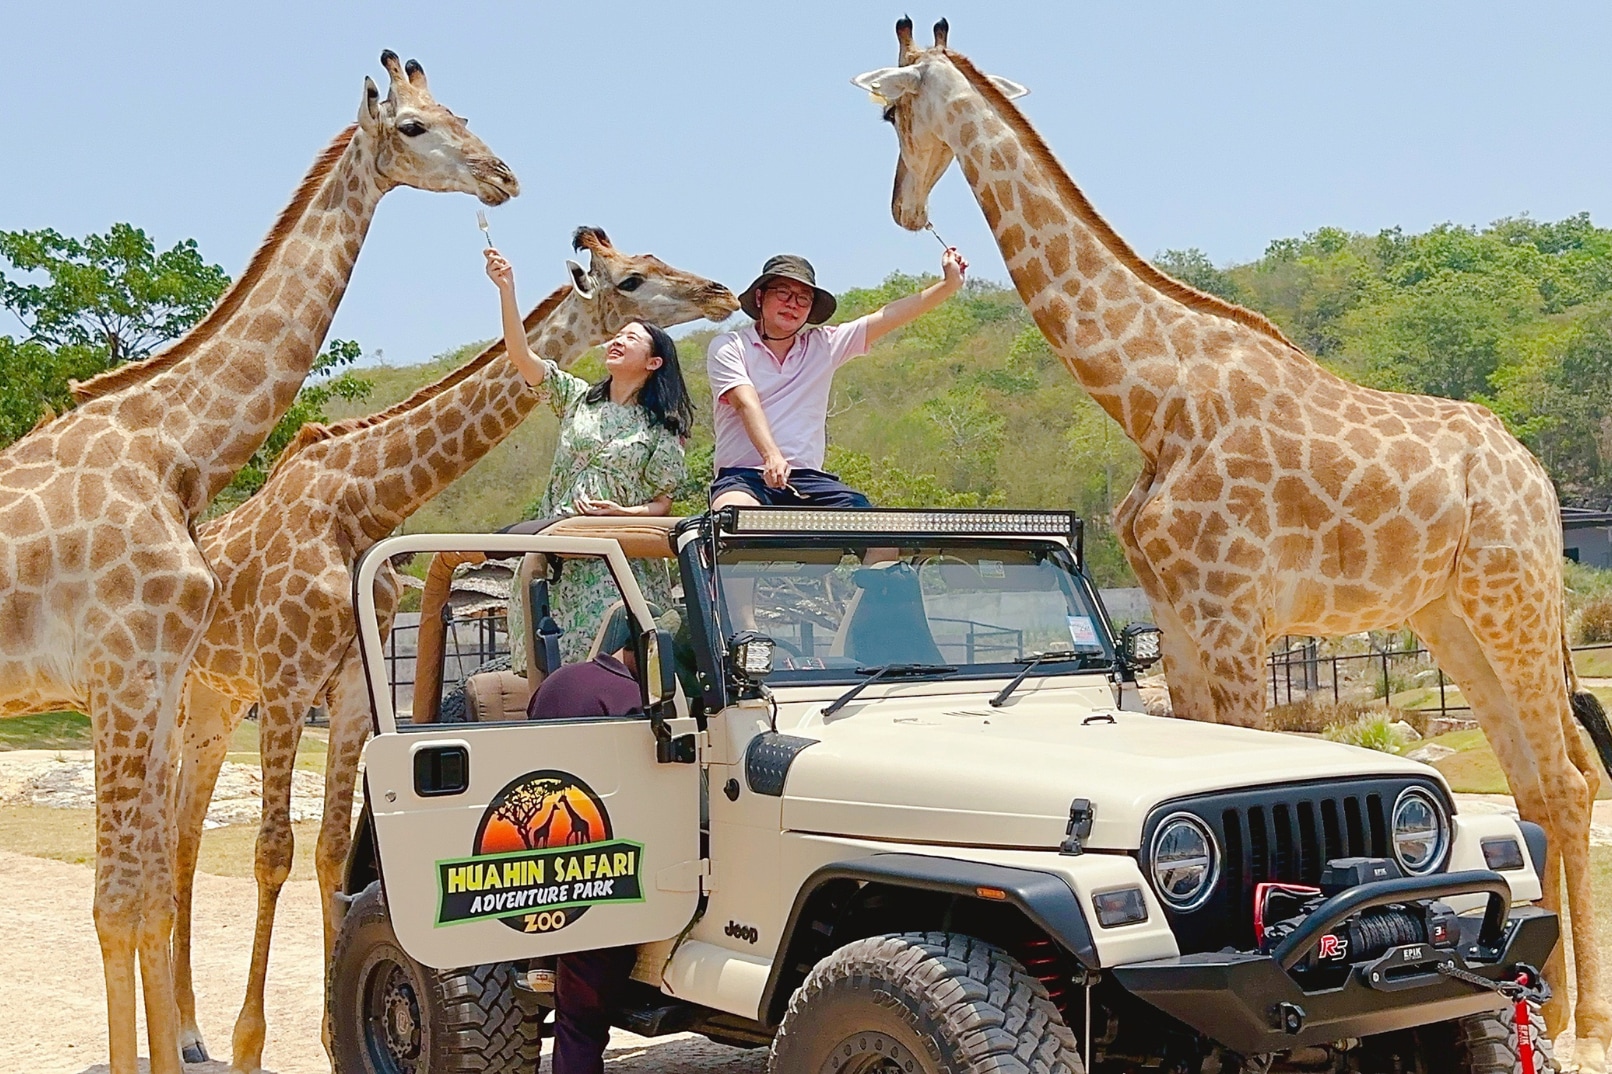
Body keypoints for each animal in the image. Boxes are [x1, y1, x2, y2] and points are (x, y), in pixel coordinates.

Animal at [0, 52, 512, 1074]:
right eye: (415, 127)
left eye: (460, 111)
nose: (504, 177)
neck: (170, 447)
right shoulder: (139, 676)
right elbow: (128, 902)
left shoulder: (164, 683)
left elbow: (160, 888)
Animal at [165, 224, 738, 1064]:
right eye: (632, 280)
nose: (723, 293)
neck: (360, 497)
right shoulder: (288, 677)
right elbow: (273, 851)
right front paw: (250, 1046)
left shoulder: (345, 686)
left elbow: (330, 849)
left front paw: (334, 1036)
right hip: (185, 695)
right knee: (166, 838)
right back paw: (183, 1034)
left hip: (218, 699)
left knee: (181, 836)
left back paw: (184, 1029)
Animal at [851, 18, 1612, 1064]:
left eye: (890, 114)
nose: (900, 208)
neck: (1149, 396)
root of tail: (1534, 472)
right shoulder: (1180, 615)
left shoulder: (1234, 609)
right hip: (1451, 617)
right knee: (1536, 785)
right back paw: (1549, 1009)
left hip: (1517, 598)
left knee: (1572, 784)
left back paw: (1583, 1034)